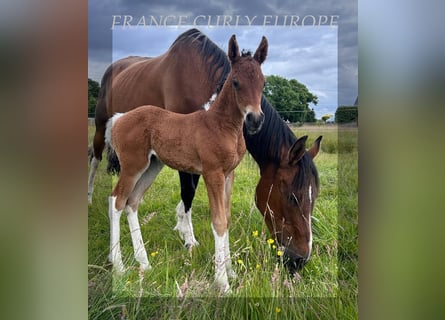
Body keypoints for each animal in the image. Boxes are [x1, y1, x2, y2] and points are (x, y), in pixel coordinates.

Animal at [104, 35, 268, 292]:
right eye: (236, 82)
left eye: (263, 83)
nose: (255, 120)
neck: (221, 124)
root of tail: (119, 119)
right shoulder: (212, 173)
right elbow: (218, 222)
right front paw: (223, 283)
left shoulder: (229, 175)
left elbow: (227, 219)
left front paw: (231, 272)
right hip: (132, 166)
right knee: (116, 202)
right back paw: (119, 265)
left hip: (151, 166)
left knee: (132, 202)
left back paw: (144, 263)